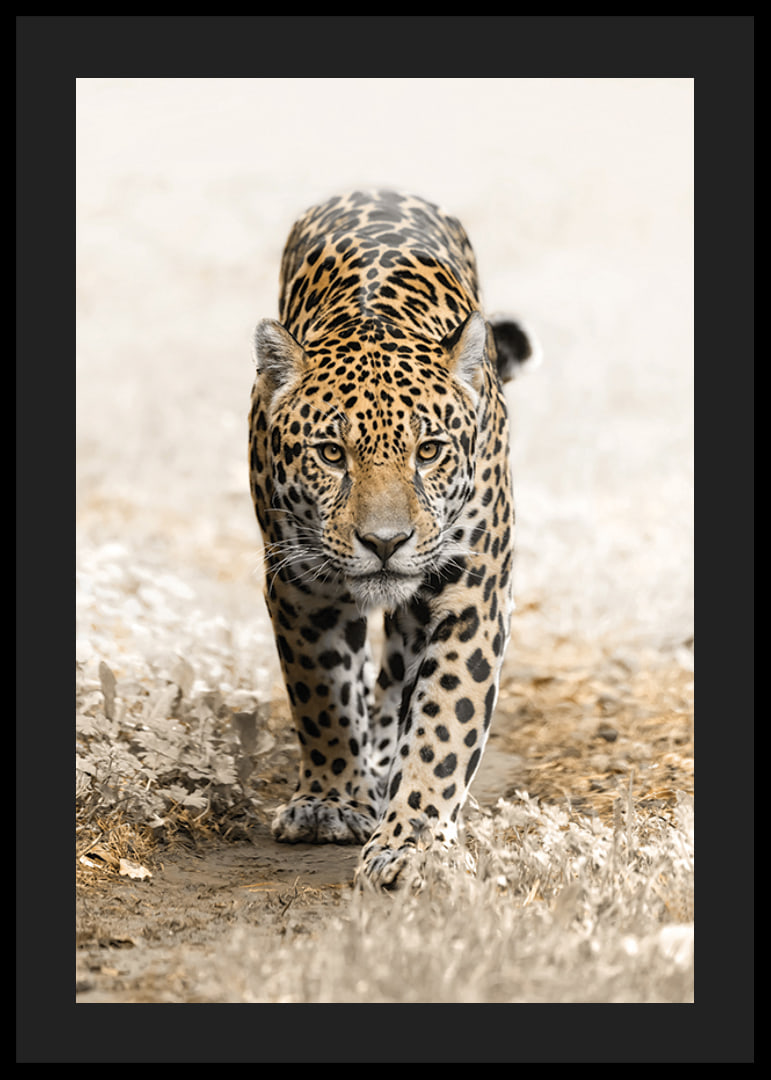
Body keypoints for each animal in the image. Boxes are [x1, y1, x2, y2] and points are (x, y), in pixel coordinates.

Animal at [248, 189, 538, 890]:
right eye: (330, 453)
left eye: (428, 451)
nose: (386, 542)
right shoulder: (300, 588)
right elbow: (321, 695)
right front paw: (329, 802)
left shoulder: (471, 595)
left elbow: (443, 723)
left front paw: (415, 843)